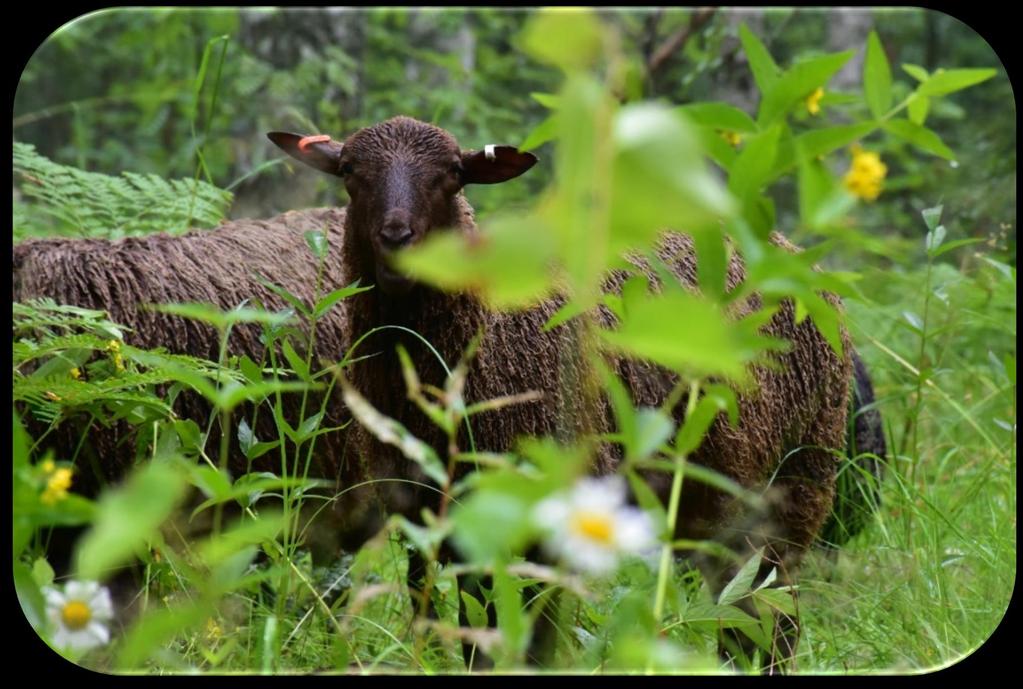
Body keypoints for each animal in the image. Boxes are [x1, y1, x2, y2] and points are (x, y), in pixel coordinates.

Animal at [270, 118, 855, 666]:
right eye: (349, 170)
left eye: (454, 175)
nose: (397, 238)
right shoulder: (424, 508)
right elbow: (451, 615)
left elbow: (531, 631)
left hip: (790, 480)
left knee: (769, 608)